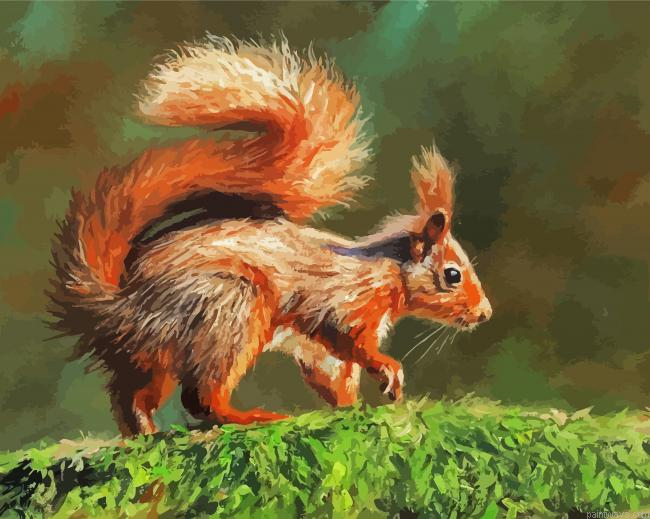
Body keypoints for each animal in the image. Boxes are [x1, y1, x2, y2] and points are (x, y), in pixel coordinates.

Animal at [49, 36, 492, 436]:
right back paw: (251, 418)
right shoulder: (345, 305)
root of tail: (122, 303)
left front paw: (353, 407)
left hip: (157, 353)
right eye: (452, 274)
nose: (484, 314)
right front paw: (388, 369)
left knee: (132, 396)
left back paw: (143, 434)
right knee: (200, 398)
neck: (386, 270)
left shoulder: (319, 350)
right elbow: (350, 341)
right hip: (229, 310)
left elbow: (334, 376)